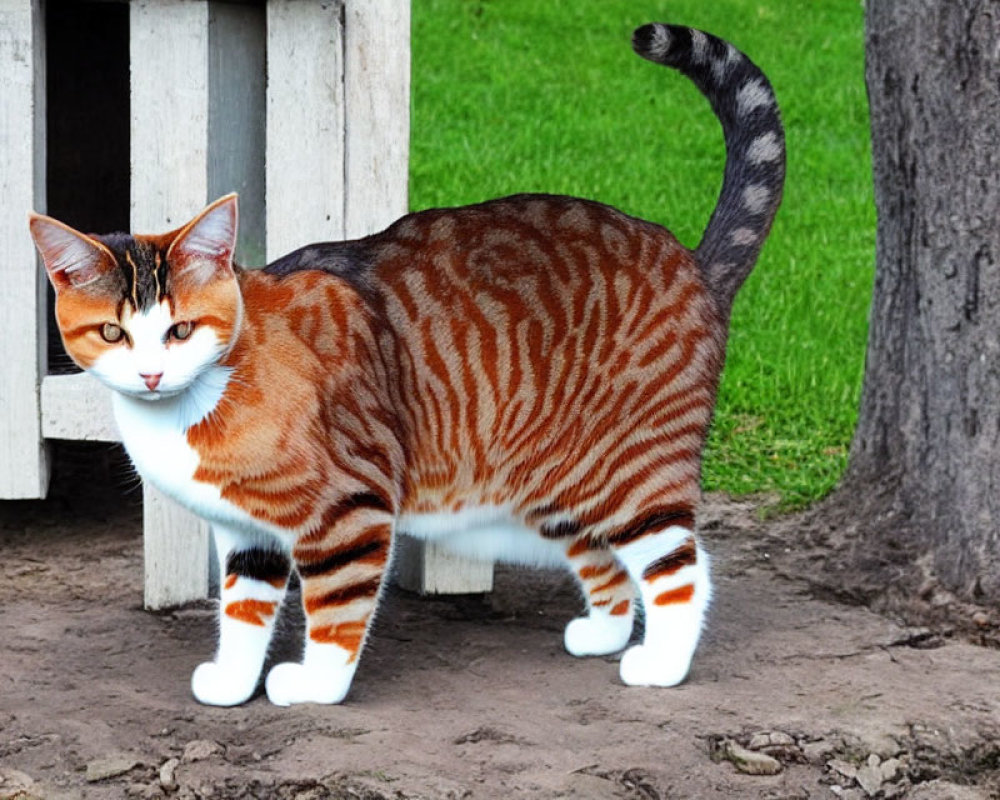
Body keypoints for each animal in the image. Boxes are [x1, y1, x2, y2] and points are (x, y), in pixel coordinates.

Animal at [29, 21, 780, 704]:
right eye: (113, 333)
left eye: (181, 329)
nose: (152, 374)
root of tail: (695, 263)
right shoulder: (248, 533)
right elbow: (244, 611)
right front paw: (234, 682)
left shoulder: (347, 510)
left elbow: (335, 610)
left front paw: (316, 686)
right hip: (561, 485)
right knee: (606, 560)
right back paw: (604, 632)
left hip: (628, 467)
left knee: (682, 568)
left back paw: (665, 664)